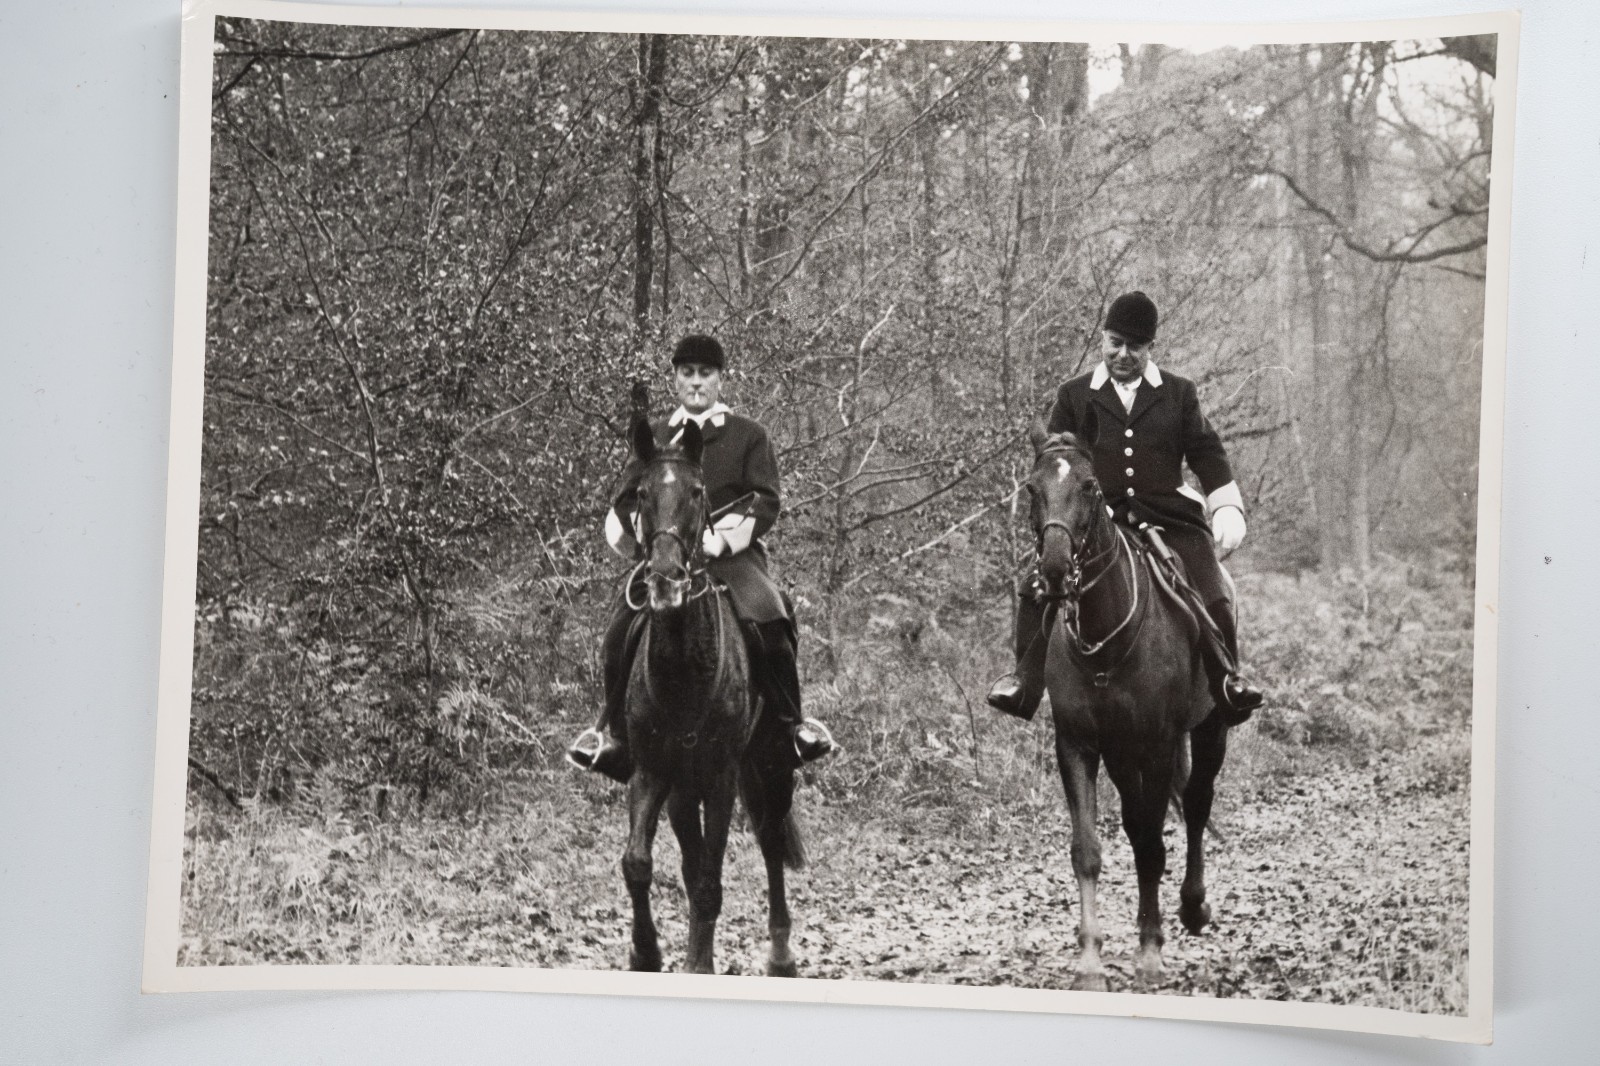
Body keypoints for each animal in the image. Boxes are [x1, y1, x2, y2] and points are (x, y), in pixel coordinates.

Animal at [617, 414, 807, 976]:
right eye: (640, 493)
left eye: (698, 492)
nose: (665, 583)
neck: (684, 668)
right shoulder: (653, 770)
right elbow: (640, 863)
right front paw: (646, 952)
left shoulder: (722, 776)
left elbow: (708, 879)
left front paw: (699, 965)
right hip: (688, 785)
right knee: (692, 855)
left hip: (769, 760)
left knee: (770, 840)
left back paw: (781, 954)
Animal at [1023, 425, 1231, 991]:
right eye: (1032, 489)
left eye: (1090, 486)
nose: (1053, 571)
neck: (1104, 636)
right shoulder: (1078, 745)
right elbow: (1089, 851)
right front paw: (1091, 961)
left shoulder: (1158, 745)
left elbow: (1154, 846)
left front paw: (1151, 953)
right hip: (1122, 754)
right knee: (1143, 824)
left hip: (1208, 729)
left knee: (1196, 803)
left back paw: (1192, 907)